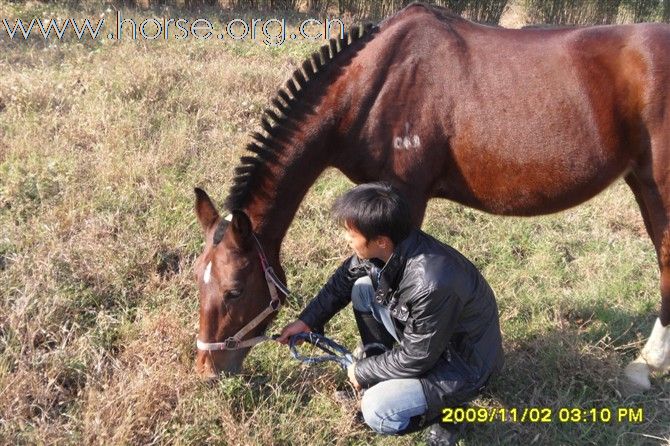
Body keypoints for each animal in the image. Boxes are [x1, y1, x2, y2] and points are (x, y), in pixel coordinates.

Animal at [193, 1, 670, 388]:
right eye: (198, 278)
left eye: (234, 291)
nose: (208, 371)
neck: (374, 84)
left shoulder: (405, 197)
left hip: (659, 187)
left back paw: (644, 366)